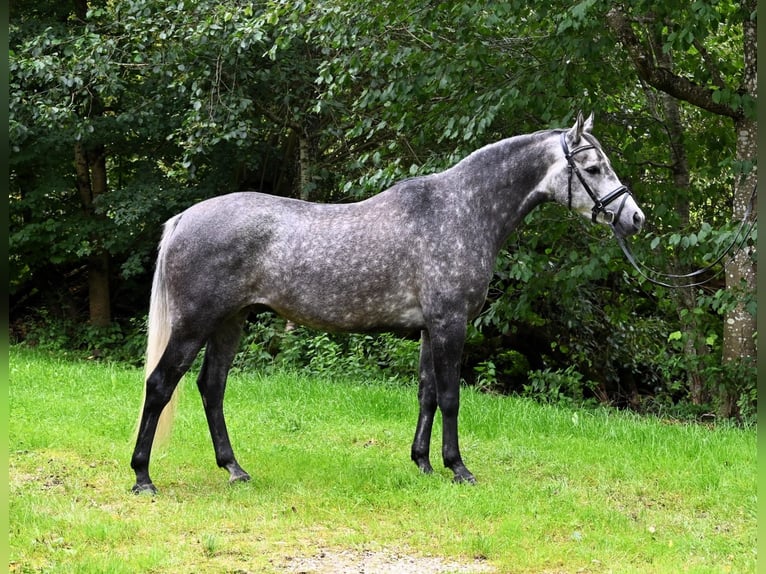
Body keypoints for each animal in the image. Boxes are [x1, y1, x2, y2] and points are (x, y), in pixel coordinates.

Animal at [130, 112, 645, 494]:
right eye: (593, 169)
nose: (635, 218)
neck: (461, 210)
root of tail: (183, 219)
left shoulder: (430, 329)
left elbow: (428, 394)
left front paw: (423, 463)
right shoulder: (451, 324)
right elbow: (451, 397)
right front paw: (459, 468)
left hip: (230, 323)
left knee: (211, 388)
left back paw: (234, 469)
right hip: (195, 324)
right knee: (160, 385)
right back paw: (142, 477)